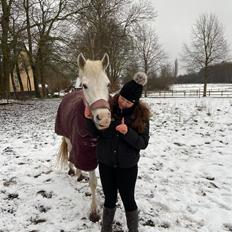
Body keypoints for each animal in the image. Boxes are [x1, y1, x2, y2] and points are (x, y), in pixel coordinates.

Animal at [55, 53, 111, 222]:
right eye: (85, 86)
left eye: (108, 84)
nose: (104, 118)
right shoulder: (87, 153)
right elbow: (93, 182)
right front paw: (94, 212)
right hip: (67, 137)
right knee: (71, 153)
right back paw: (73, 171)